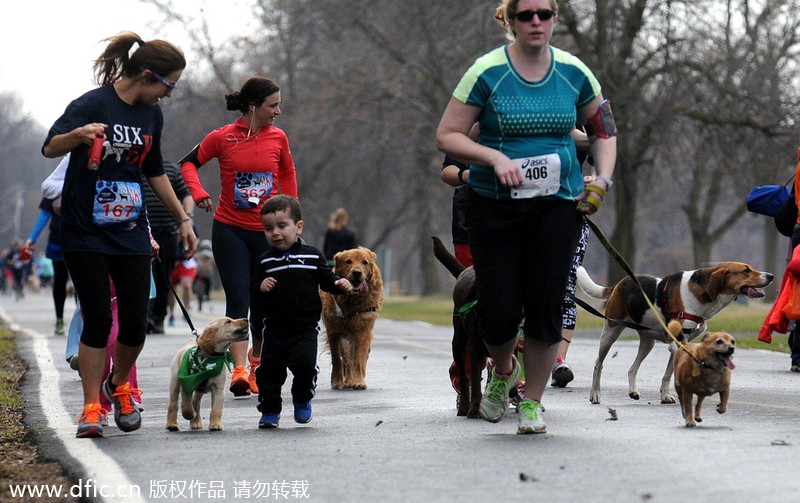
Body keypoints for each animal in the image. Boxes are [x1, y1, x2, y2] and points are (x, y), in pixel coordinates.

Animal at [320, 246, 382, 392]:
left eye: (364, 262)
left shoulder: (363, 331)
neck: (351, 301)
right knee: (346, 357)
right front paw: (337, 382)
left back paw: (350, 380)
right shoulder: (334, 332)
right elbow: (337, 358)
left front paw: (358, 381)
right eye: (348, 261)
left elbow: (359, 358)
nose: (357, 272)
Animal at [432, 238, 488, 420]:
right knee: (464, 377)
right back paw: (464, 407)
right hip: (459, 343)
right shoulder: (476, 350)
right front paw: (474, 409)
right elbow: (475, 385)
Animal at [580, 262, 772, 404]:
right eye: (746, 270)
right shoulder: (678, 344)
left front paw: (665, 395)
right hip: (610, 332)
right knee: (598, 364)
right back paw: (595, 394)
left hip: (647, 342)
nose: (771, 276)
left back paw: (633, 391)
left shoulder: (679, 345)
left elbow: (667, 375)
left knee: (632, 368)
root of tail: (620, 283)